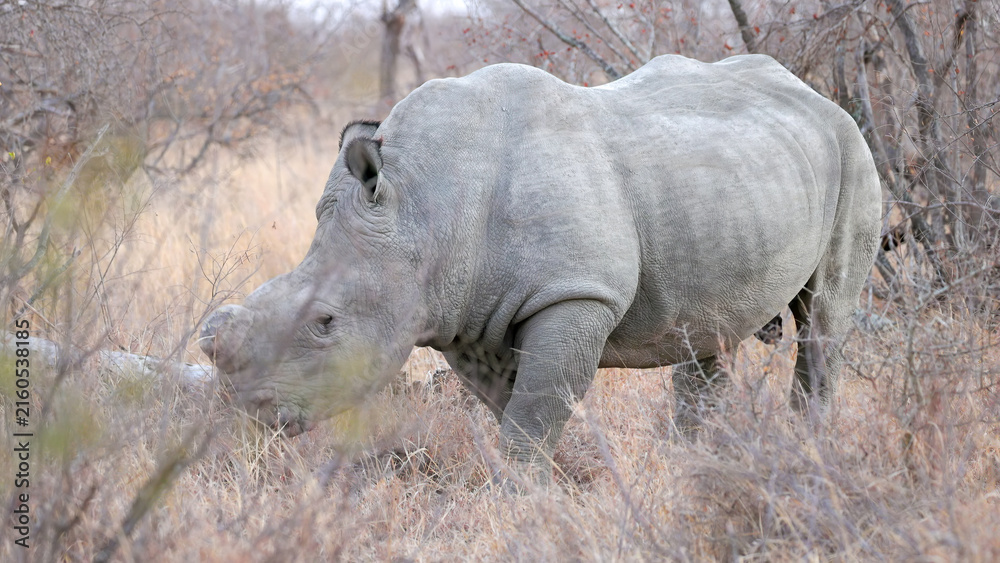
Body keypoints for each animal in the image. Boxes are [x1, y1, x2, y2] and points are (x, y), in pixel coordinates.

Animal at [199, 54, 881, 482]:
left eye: (325, 323)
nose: (253, 410)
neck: (424, 206)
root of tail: (815, 92)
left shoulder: (575, 294)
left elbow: (533, 414)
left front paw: (524, 500)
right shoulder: (463, 313)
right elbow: (515, 412)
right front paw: (544, 491)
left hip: (852, 149)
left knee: (824, 321)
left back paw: (809, 449)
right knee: (707, 337)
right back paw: (700, 463)